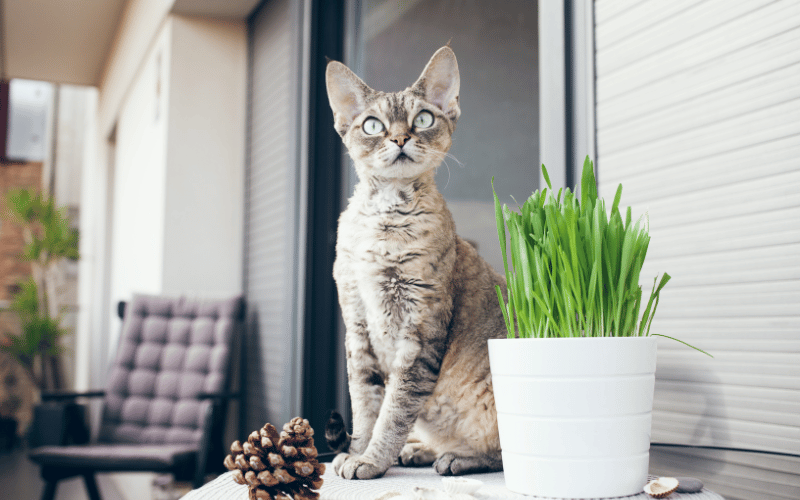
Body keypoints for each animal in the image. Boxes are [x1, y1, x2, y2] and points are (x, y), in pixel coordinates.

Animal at [322, 47, 504, 480]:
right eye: (372, 125)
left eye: (422, 119)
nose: (400, 138)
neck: (384, 218)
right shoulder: (357, 325)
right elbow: (366, 405)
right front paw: (358, 453)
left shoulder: (419, 332)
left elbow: (394, 410)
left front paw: (370, 460)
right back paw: (418, 450)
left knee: (505, 453)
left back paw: (455, 459)